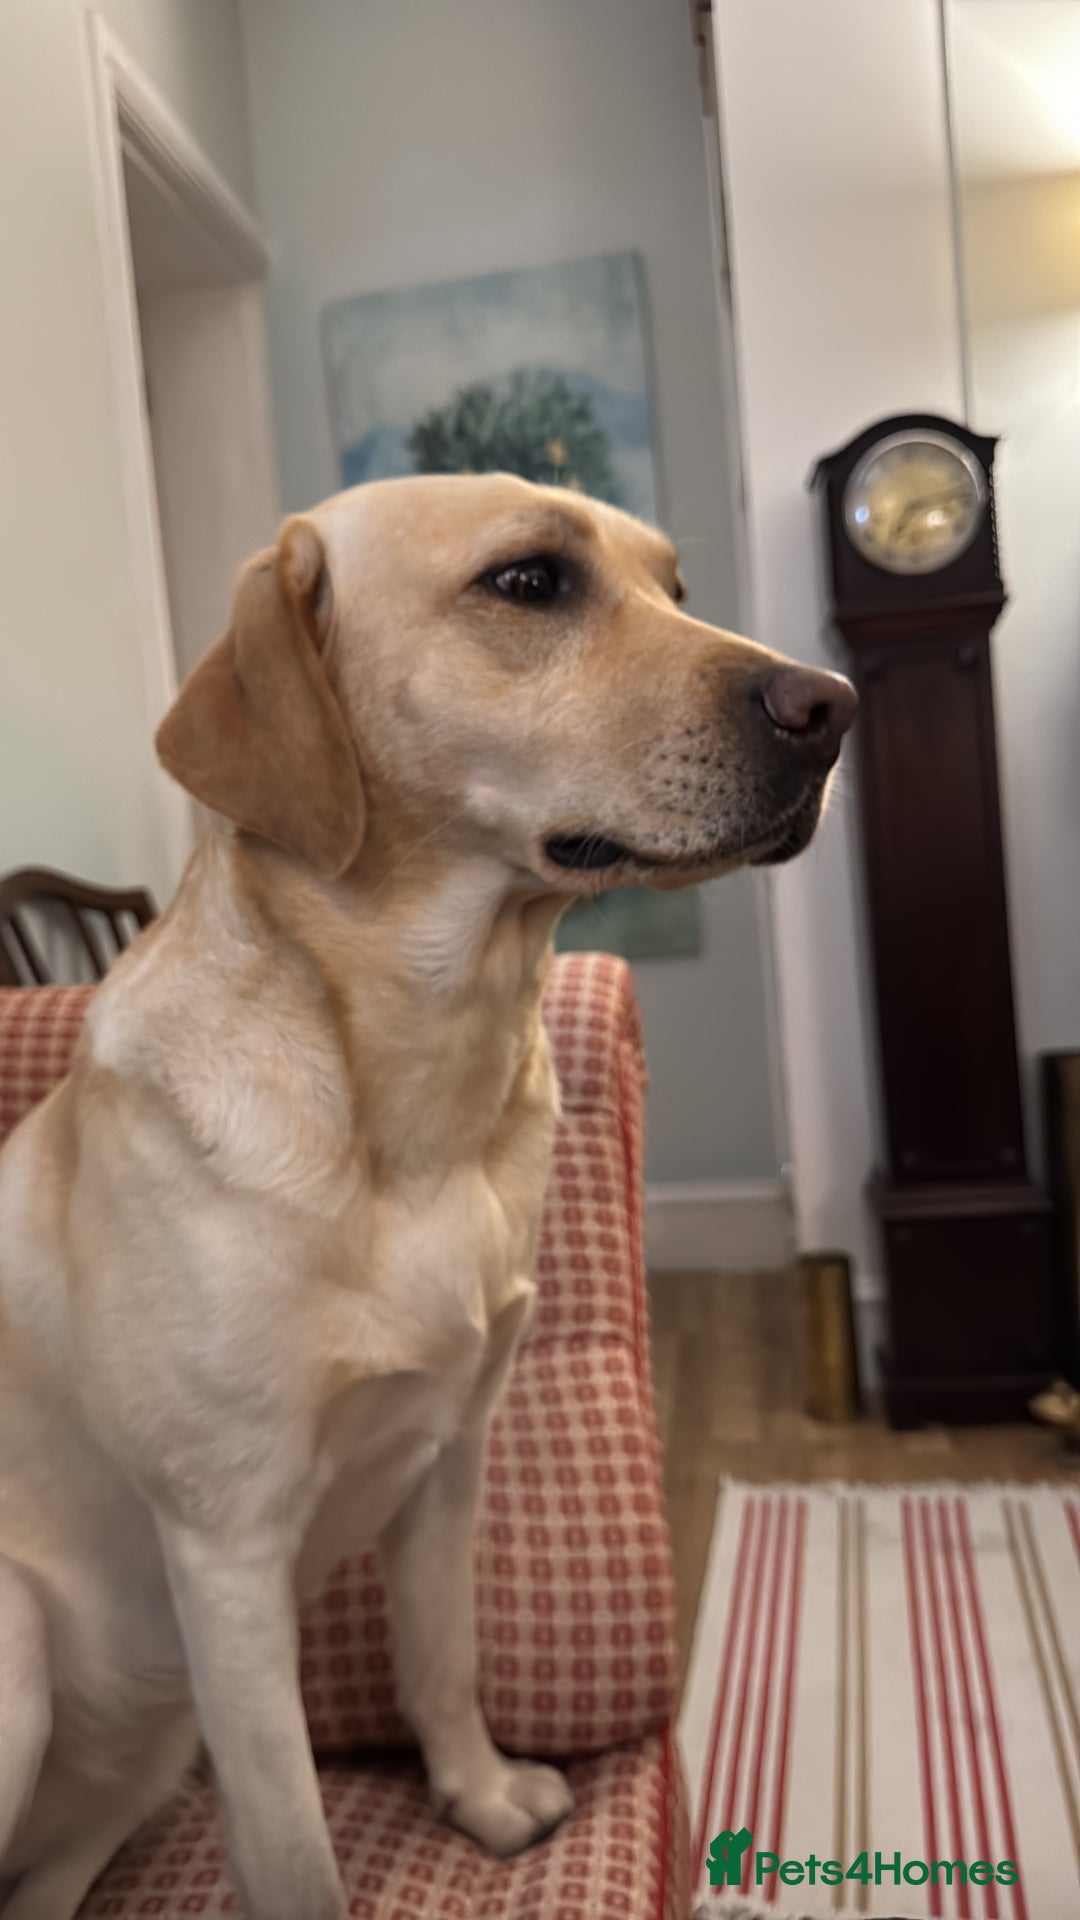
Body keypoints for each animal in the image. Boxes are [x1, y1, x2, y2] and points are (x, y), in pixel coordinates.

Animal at [0, 473, 855, 1920]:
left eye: (676, 590)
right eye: (528, 583)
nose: (837, 703)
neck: (411, 1102)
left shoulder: (448, 1458)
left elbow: (440, 1662)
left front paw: (483, 1798)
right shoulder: (226, 1552)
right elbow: (292, 1840)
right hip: (20, 1647)